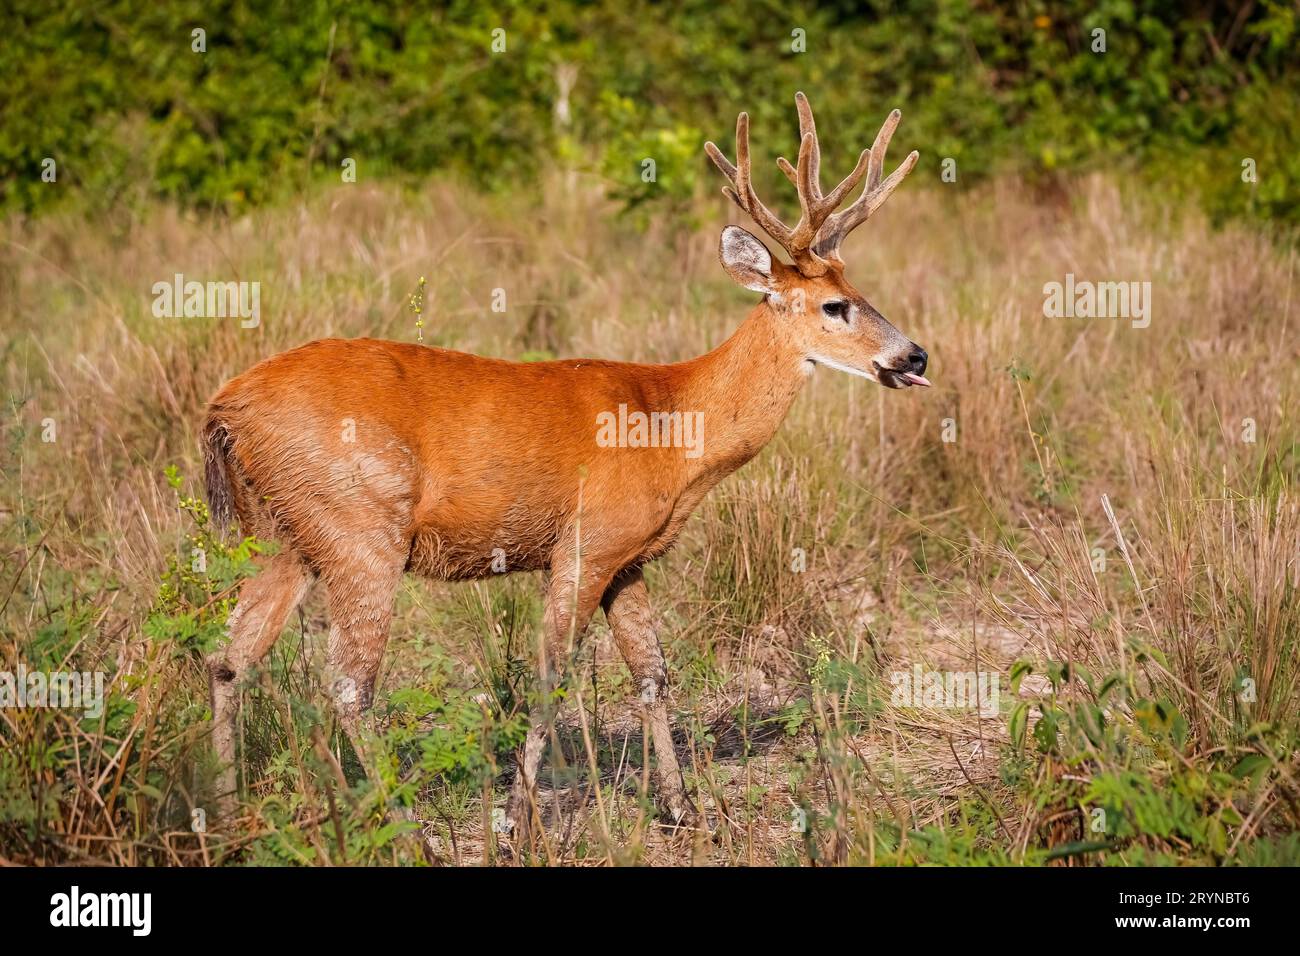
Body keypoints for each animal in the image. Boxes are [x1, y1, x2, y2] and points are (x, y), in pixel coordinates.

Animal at [200, 93, 925, 848]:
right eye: (836, 305)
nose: (914, 356)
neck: (671, 425)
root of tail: (226, 407)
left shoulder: (631, 557)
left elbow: (652, 673)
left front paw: (682, 809)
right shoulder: (586, 542)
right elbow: (551, 677)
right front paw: (520, 822)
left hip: (293, 533)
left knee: (229, 656)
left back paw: (221, 813)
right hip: (359, 527)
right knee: (346, 687)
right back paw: (408, 832)